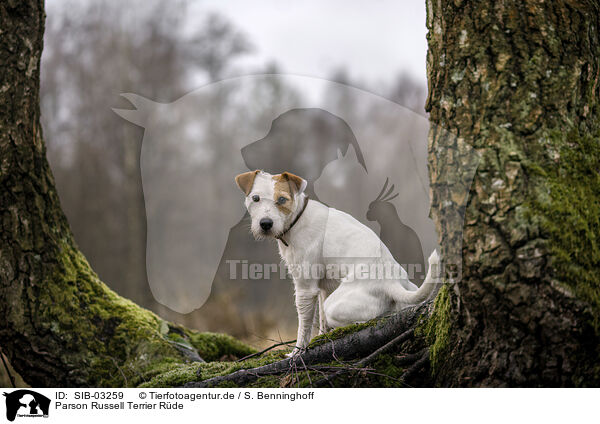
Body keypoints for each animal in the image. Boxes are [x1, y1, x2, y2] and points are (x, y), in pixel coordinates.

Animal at [237, 169, 442, 354]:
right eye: (255, 198)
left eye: (282, 200)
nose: (265, 224)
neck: (298, 217)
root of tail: (390, 283)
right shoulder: (323, 288)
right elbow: (321, 322)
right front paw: (321, 337)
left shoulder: (305, 289)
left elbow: (304, 327)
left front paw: (296, 353)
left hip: (335, 307)